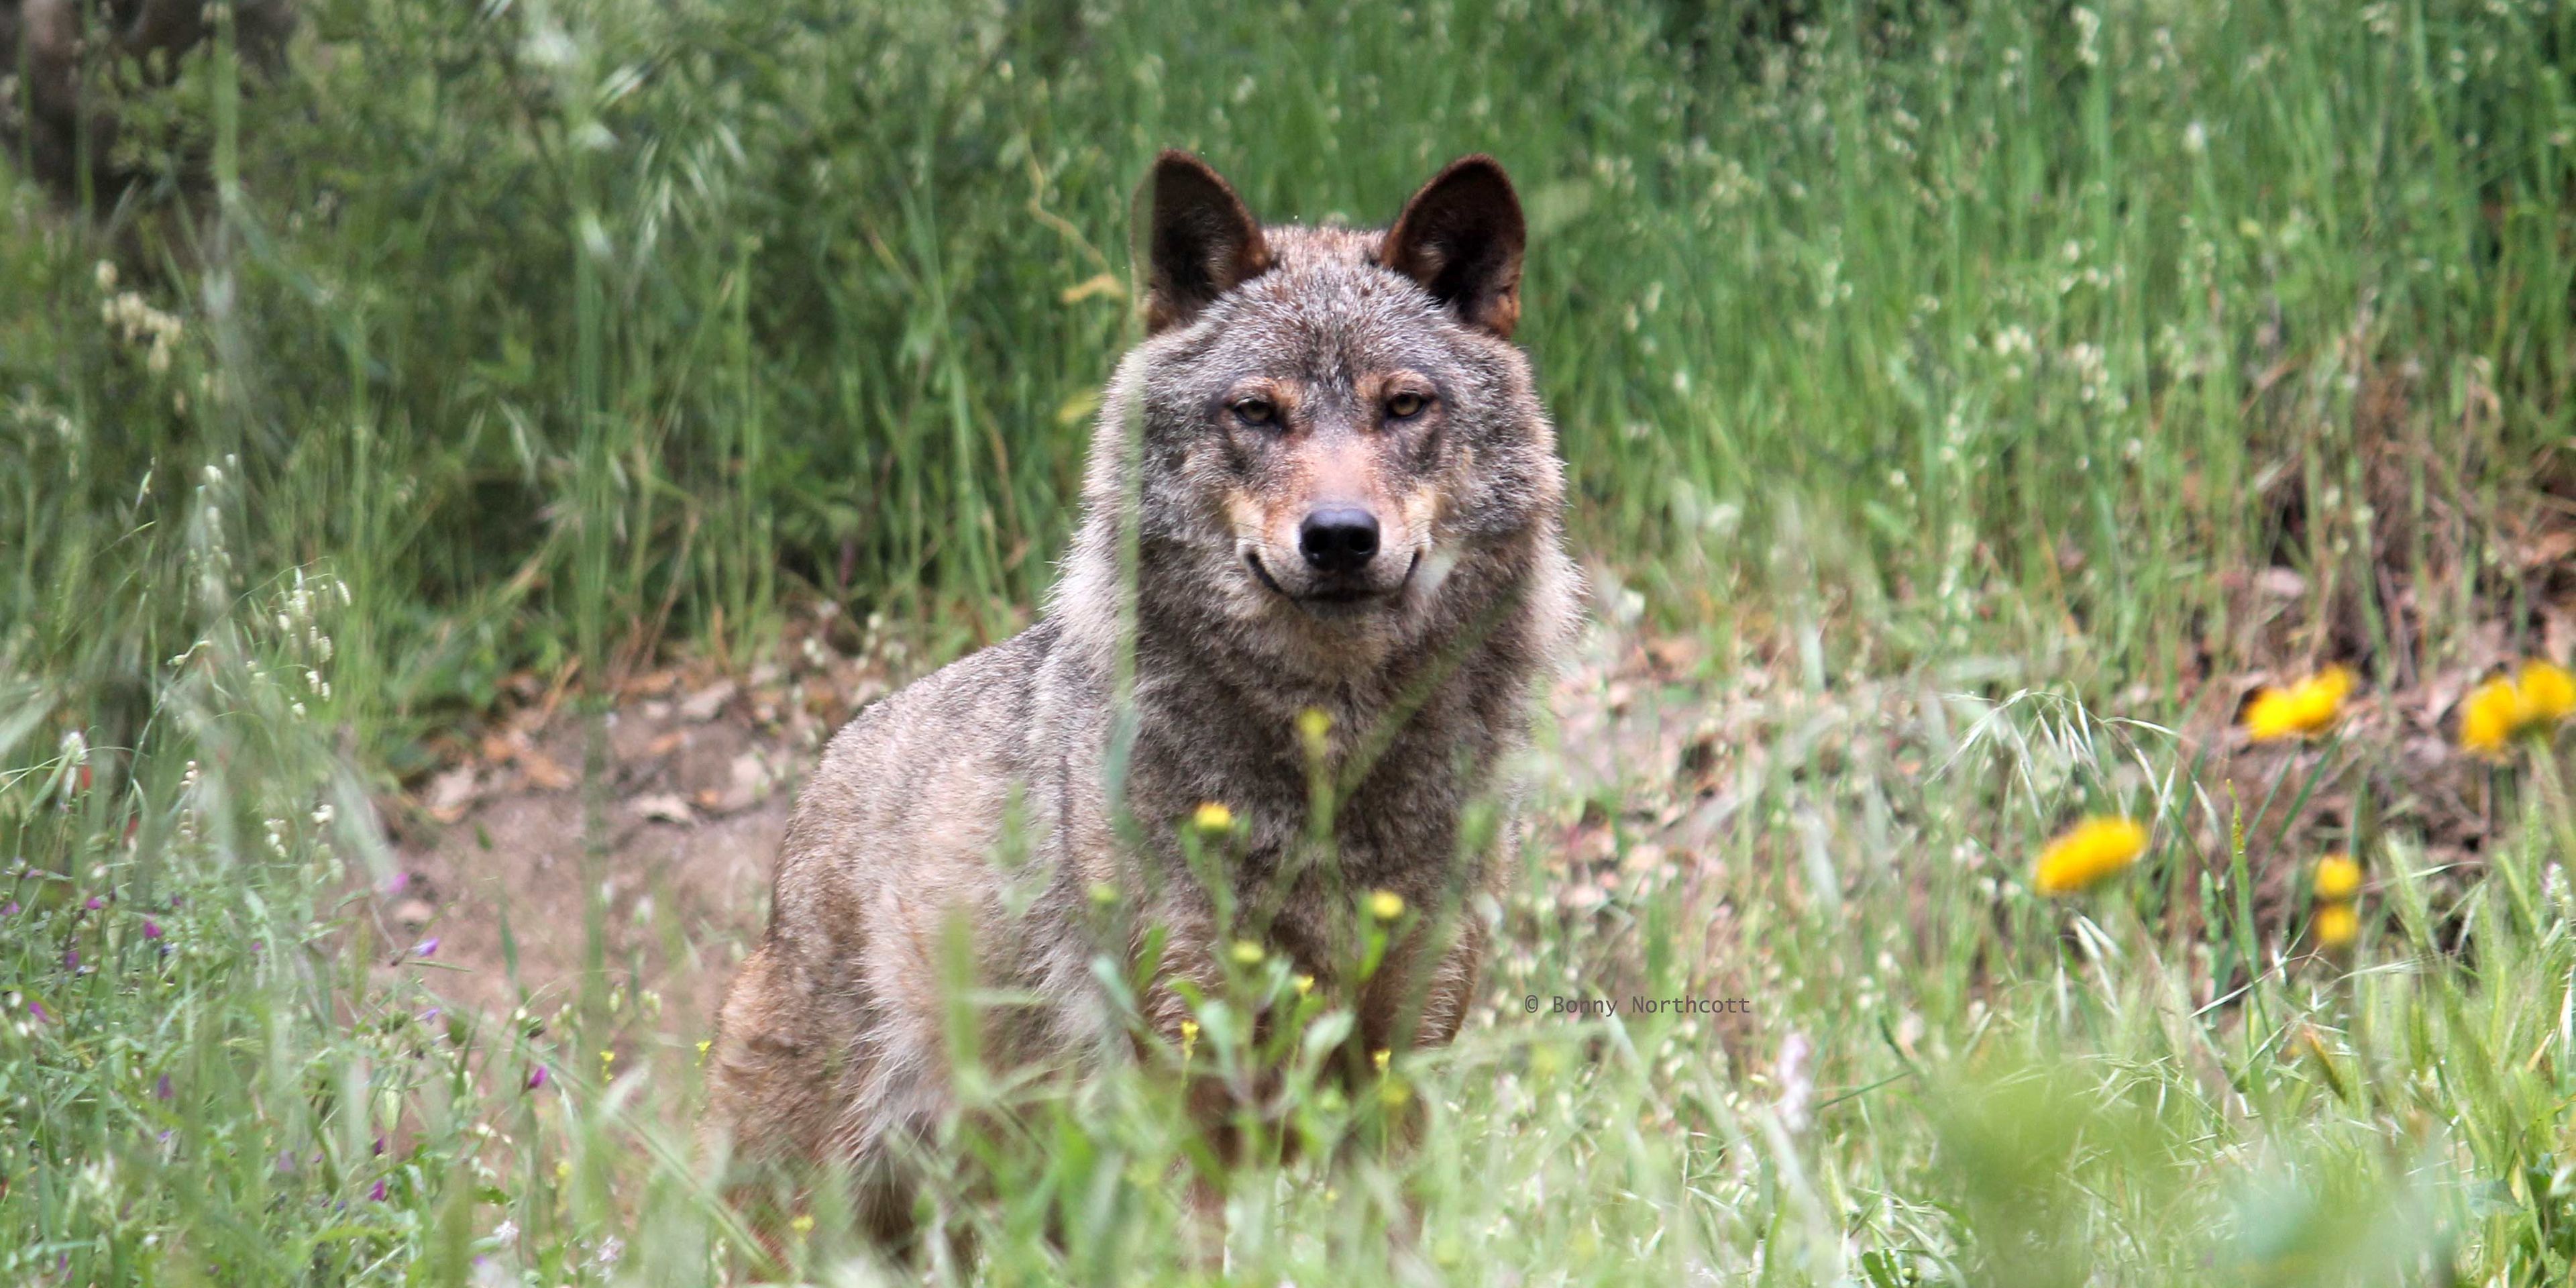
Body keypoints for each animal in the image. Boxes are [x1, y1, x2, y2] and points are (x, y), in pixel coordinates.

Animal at [701, 150, 1579, 1246]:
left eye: (1404, 407)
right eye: (1258, 412)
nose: (1340, 536)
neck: (1327, 767)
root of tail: (823, 778)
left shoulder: (1394, 1084)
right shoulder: (1183, 1095)